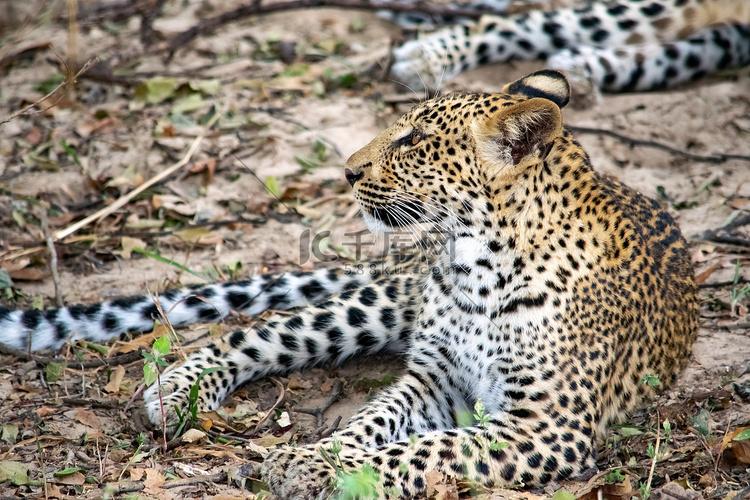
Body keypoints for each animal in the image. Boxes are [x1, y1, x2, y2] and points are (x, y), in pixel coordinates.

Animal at [1, 71, 704, 500]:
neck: (476, 267)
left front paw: (318, 464)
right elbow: (373, 423)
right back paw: (175, 392)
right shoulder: (435, 380)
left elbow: (425, 451)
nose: (347, 170)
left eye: (415, 139)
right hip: (375, 306)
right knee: (256, 334)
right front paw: (319, 456)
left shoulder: (546, 424)